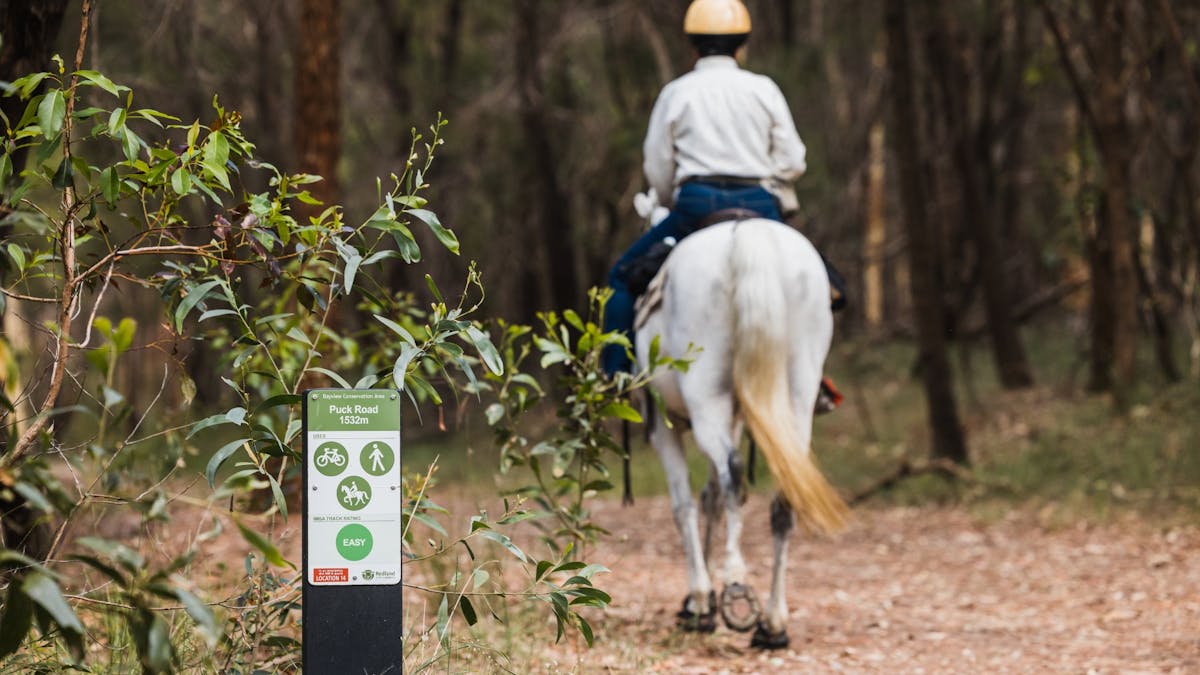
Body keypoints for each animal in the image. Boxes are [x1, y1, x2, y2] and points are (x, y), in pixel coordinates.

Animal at [633, 216, 848, 649]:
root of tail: (748, 231)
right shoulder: (733, 418)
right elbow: (710, 498)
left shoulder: (663, 426)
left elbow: (685, 505)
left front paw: (700, 600)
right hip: (796, 396)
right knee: (784, 492)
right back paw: (773, 623)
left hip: (705, 396)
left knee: (732, 474)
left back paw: (735, 587)